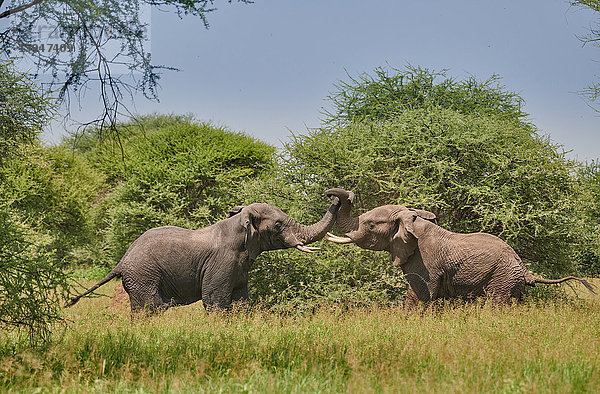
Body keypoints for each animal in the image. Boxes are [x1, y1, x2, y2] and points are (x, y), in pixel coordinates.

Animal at [67, 189, 346, 316]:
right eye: (278, 225)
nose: (337, 196)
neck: (238, 224)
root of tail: (121, 261)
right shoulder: (221, 263)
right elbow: (216, 302)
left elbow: (241, 301)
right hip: (143, 275)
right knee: (152, 308)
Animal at [324, 189, 596, 308]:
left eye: (370, 226)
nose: (336, 196)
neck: (413, 221)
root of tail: (524, 268)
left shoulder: (425, 261)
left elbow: (419, 294)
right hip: (512, 281)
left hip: (502, 277)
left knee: (496, 304)